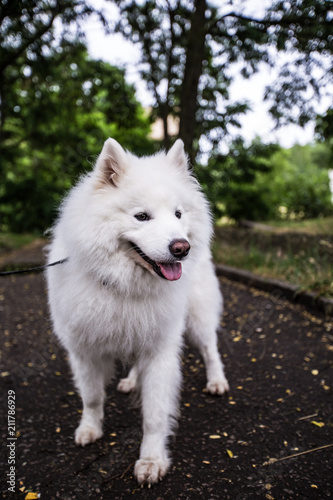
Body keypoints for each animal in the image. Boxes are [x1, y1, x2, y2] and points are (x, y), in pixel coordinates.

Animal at [46, 137, 228, 484]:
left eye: (178, 214)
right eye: (141, 216)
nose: (181, 248)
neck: (125, 286)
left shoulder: (160, 350)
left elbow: (154, 414)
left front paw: (151, 460)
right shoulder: (84, 350)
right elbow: (91, 396)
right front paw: (90, 428)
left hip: (197, 317)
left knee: (210, 349)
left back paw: (217, 381)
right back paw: (131, 381)